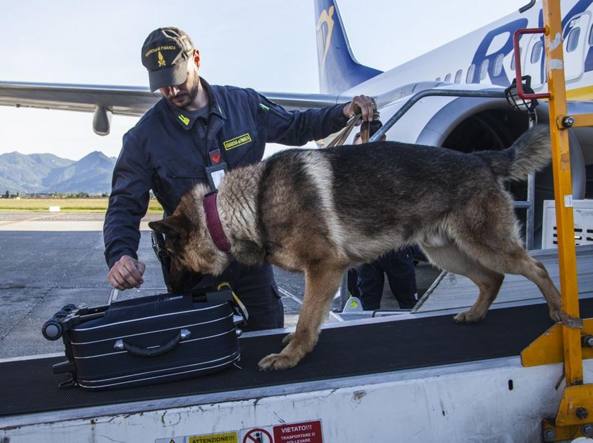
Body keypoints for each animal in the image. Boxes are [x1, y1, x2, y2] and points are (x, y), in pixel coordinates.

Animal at [150, 126, 576, 372]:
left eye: (168, 257)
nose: (168, 293)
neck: (241, 208)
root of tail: (480, 158)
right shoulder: (324, 275)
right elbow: (311, 320)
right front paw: (295, 347)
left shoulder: (323, 268)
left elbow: (306, 320)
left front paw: (291, 356)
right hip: (447, 252)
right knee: (492, 279)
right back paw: (475, 314)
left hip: (484, 244)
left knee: (535, 268)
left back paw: (560, 311)